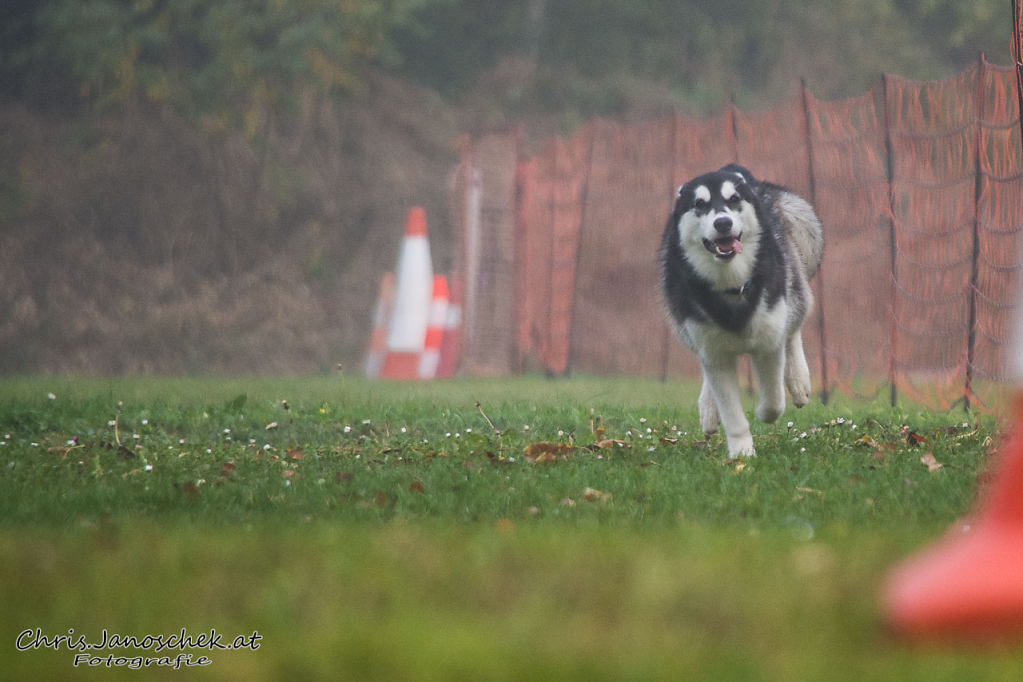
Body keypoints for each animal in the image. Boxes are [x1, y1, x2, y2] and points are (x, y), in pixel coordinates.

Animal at [662, 163, 822, 458]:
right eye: (699, 204)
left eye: (734, 199)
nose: (722, 223)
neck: (731, 284)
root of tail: (732, 167)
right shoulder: (714, 353)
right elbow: (731, 412)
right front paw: (741, 454)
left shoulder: (769, 342)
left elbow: (773, 401)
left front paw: (762, 413)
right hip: (687, 331)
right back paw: (709, 409)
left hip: (793, 284)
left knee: (793, 328)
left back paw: (798, 380)